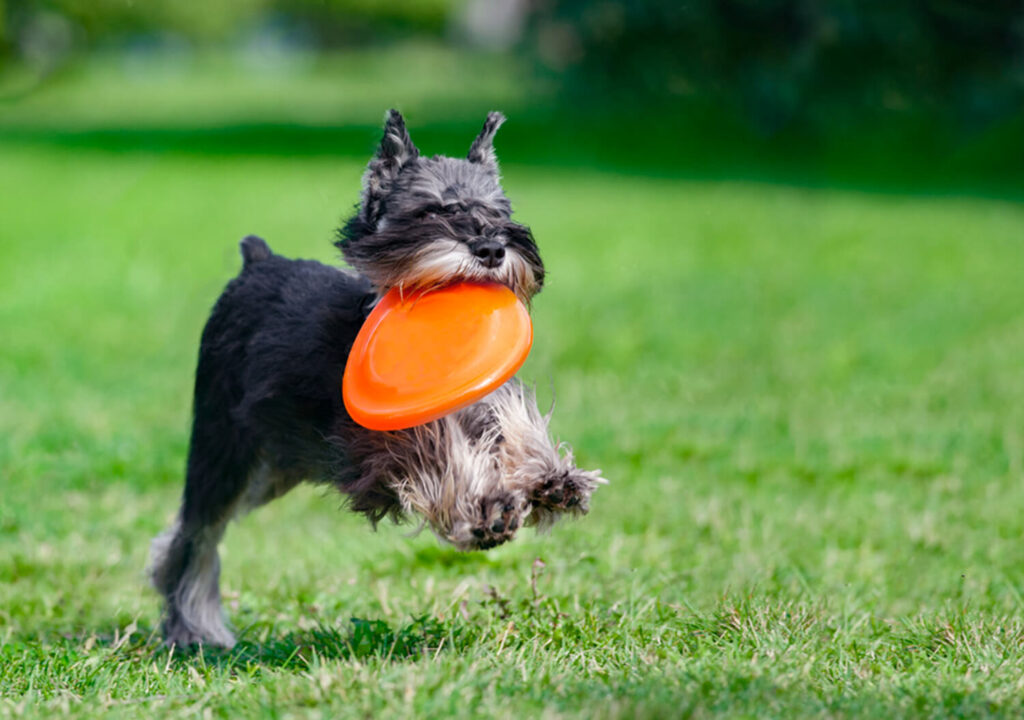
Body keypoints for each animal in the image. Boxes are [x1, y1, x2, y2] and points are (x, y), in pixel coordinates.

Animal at [148, 111, 602, 647]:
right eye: (429, 211)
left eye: (496, 210)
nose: (491, 247)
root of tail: (256, 260)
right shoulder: (375, 447)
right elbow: (438, 454)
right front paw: (485, 506)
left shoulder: (483, 401)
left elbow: (513, 424)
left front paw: (552, 478)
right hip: (222, 450)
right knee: (194, 535)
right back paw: (193, 629)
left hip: (271, 469)